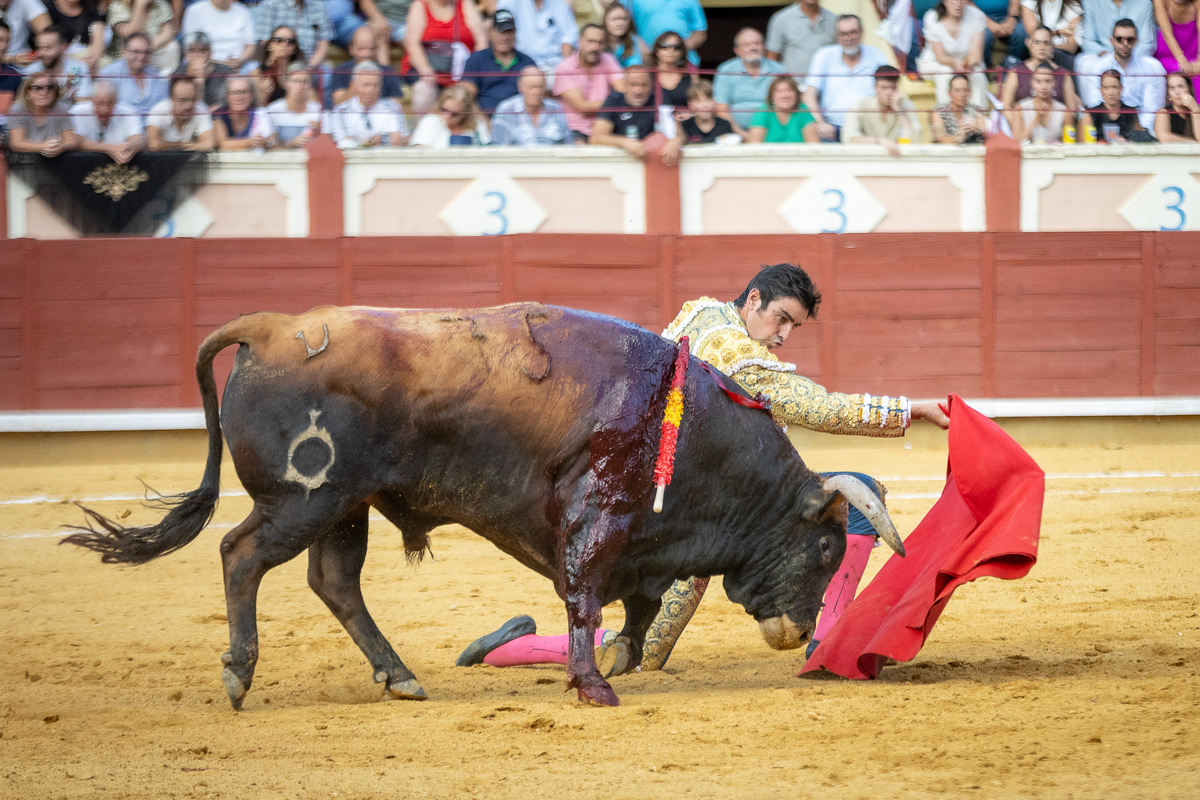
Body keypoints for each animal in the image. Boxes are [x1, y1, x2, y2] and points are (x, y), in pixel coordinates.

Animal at [60, 304, 897, 705]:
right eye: (826, 548)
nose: (799, 634)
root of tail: (268, 329)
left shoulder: (642, 540)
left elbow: (632, 604)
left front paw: (616, 663)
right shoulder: (601, 515)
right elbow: (585, 596)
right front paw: (595, 686)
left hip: (344, 507)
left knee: (334, 582)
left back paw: (401, 676)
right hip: (304, 497)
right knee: (241, 555)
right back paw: (240, 673)